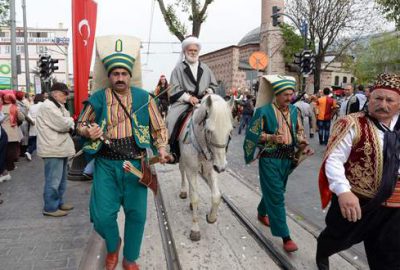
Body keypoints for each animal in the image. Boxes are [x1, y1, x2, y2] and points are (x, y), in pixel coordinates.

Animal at [177, 94, 233, 240]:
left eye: (230, 131)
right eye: (209, 131)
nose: (221, 167)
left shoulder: (210, 170)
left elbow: (216, 196)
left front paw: (211, 217)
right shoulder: (191, 169)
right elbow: (195, 197)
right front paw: (195, 229)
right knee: (182, 171)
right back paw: (183, 191)